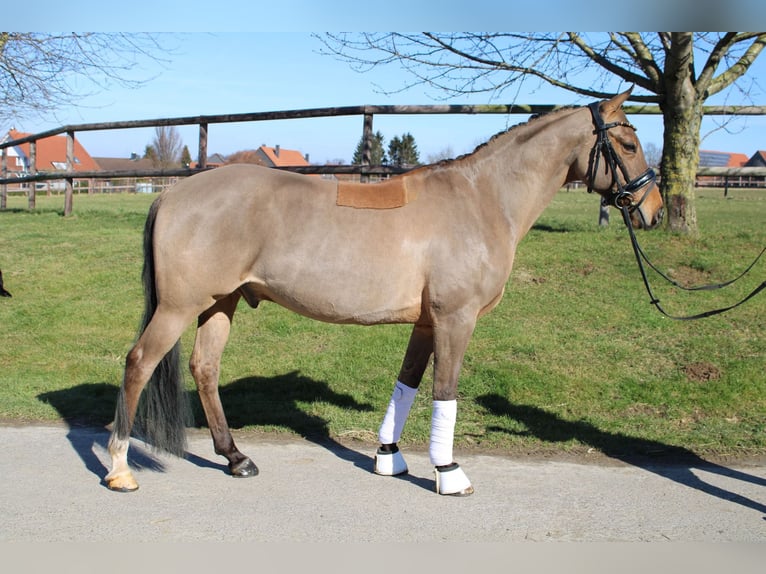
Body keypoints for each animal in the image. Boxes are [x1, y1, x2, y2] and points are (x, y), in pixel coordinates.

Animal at [106, 89, 664, 496]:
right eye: (629, 145)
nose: (654, 210)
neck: (481, 198)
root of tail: (173, 193)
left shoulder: (426, 321)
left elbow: (408, 384)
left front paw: (388, 459)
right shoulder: (455, 318)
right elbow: (445, 390)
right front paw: (449, 472)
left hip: (220, 303)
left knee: (205, 369)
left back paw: (236, 458)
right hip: (179, 307)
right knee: (139, 363)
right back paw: (120, 468)